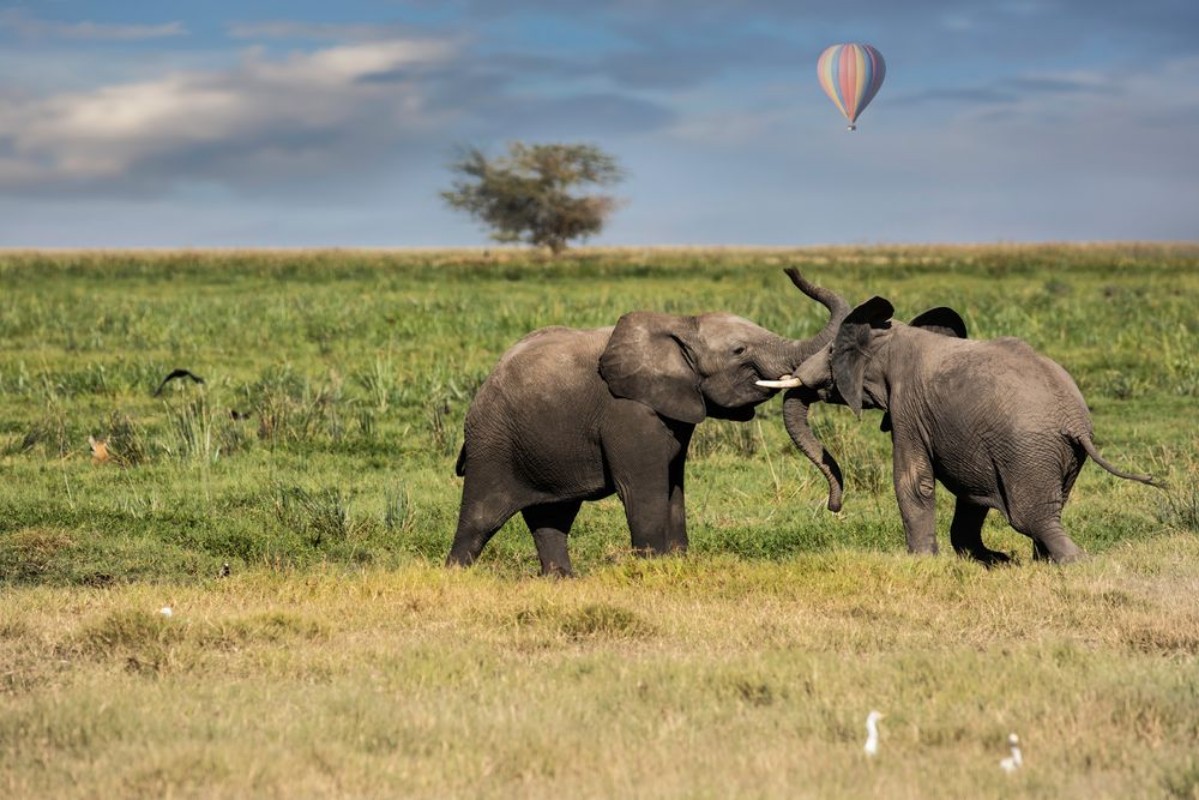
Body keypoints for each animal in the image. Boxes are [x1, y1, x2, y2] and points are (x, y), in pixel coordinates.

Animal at [446, 268, 849, 576]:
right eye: (739, 351)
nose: (791, 270)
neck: (682, 326)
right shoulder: (627, 411)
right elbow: (642, 487)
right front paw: (652, 567)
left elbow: (674, 483)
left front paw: (678, 561)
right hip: (494, 442)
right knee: (481, 517)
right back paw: (456, 576)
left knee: (553, 516)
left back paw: (561, 581)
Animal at [763, 295, 1162, 564]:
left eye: (831, 353)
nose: (834, 507)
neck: (892, 335)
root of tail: (1074, 422)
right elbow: (972, 493)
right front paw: (989, 560)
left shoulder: (908, 406)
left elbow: (913, 481)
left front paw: (922, 562)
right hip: (1056, 455)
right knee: (1046, 509)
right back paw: (1037, 562)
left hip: (1027, 449)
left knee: (1031, 517)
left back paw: (1074, 563)